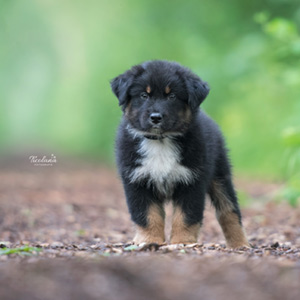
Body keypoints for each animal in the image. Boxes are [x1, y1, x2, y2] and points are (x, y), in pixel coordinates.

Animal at [111, 60, 250, 248]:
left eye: (172, 96)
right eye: (144, 95)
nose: (156, 117)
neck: (160, 141)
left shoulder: (192, 181)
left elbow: (186, 216)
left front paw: (182, 242)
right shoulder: (137, 180)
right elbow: (146, 215)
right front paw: (150, 240)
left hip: (220, 174)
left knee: (229, 211)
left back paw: (240, 244)